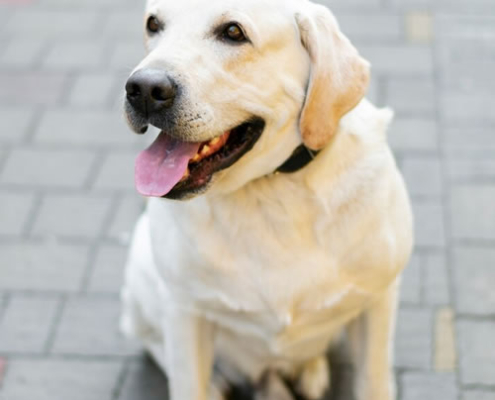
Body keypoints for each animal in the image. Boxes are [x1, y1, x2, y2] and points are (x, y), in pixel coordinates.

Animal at [120, 0, 414, 398]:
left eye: (233, 32)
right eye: (153, 24)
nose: (144, 88)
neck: (270, 189)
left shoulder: (378, 301)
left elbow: (374, 382)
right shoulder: (185, 310)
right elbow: (187, 380)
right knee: (154, 341)